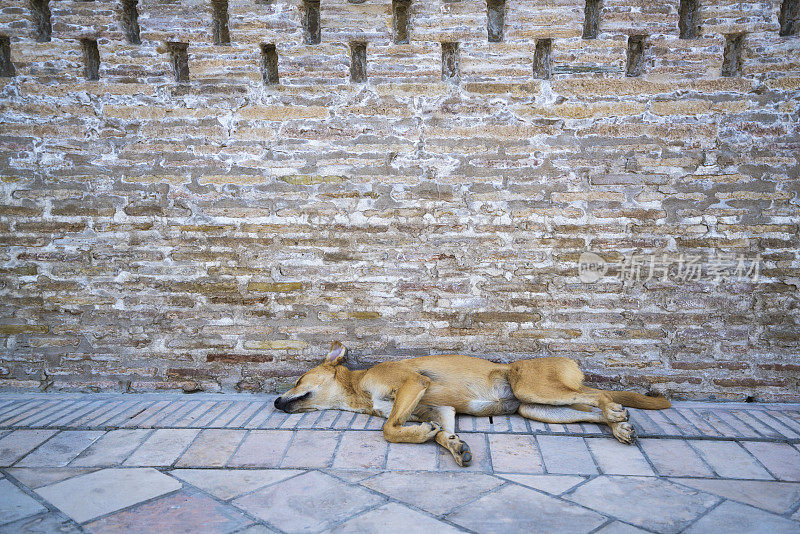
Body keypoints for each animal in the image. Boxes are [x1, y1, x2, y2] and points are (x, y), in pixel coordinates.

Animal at [276, 344, 668, 468]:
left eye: (297, 381)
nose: (276, 402)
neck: (357, 389)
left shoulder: (413, 383)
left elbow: (388, 428)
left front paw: (419, 433)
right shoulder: (439, 410)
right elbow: (437, 431)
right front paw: (451, 444)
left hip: (532, 387)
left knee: (601, 396)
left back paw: (616, 414)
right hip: (536, 408)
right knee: (591, 410)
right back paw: (619, 426)